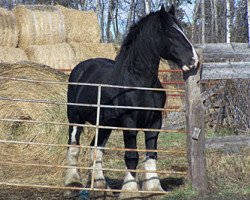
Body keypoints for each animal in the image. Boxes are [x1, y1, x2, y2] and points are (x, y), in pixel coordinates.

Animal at [65, 4, 198, 197]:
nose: (194, 60)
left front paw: (154, 188)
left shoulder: (155, 122)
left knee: (96, 149)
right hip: (75, 119)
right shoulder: (129, 122)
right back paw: (72, 183)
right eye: (170, 32)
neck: (139, 83)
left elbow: (151, 154)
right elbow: (132, 156)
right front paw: (130, 191)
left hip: (104, 124)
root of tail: (80, 68)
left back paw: (100, 186)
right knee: (74, 146)